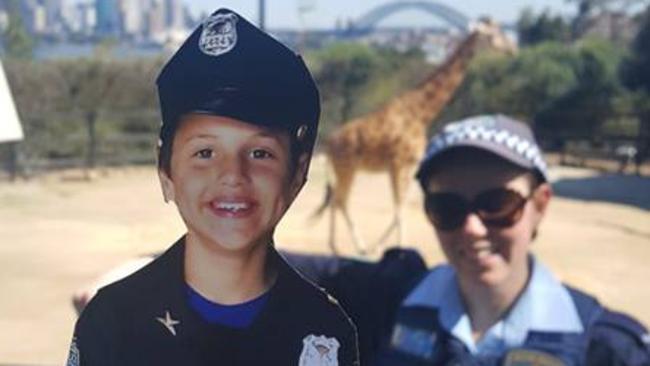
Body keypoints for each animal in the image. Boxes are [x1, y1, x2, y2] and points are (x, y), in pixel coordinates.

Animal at [312, 19, 516, 254]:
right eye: (492, 35)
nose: (512, 49)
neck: (421, 114)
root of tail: (329, 143)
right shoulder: (398, 163)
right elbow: (399, 206)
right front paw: (397, 248)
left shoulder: (411, 164)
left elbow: (403, 205)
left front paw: (382, 245)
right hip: (347, 168)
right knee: (341, 200)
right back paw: (353, 246)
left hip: (344, 169)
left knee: (336, 199)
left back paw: (338, 246)